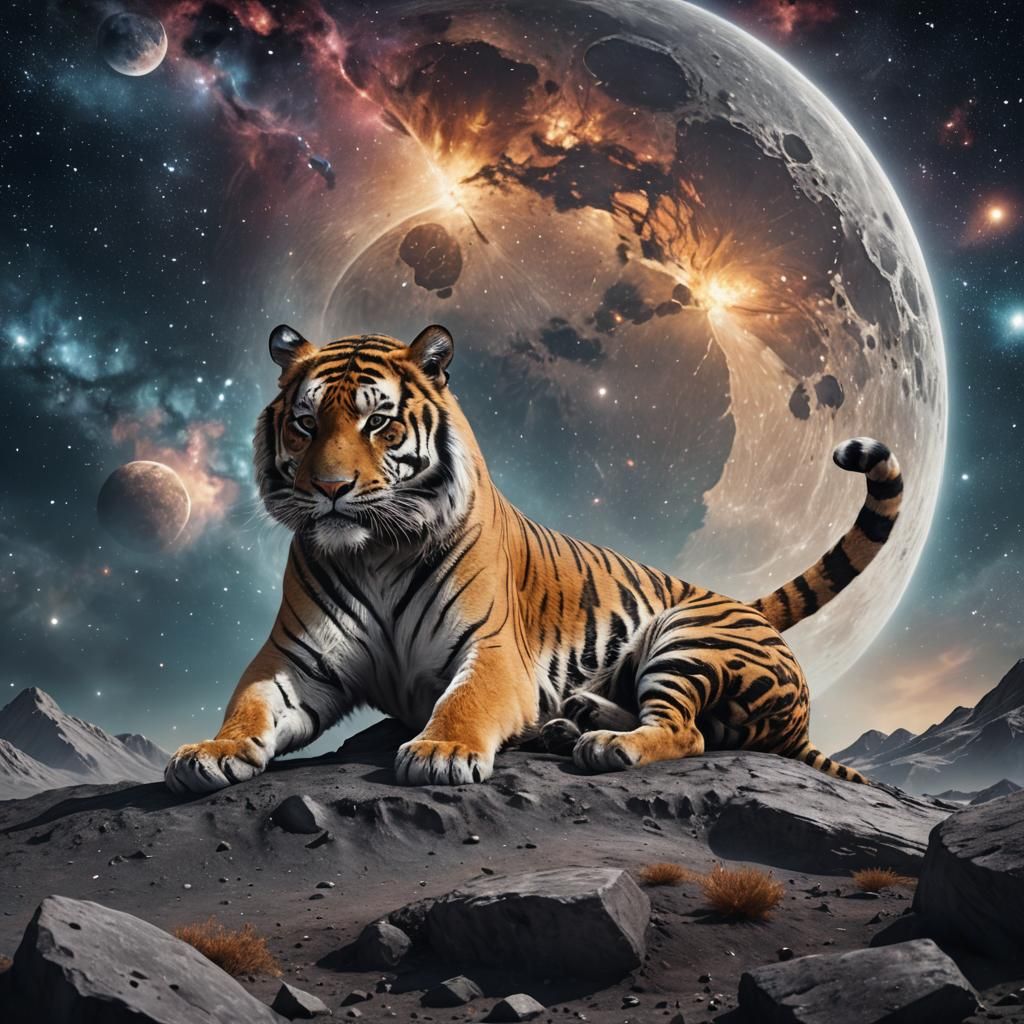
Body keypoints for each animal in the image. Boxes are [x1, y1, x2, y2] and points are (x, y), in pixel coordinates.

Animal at [164, 323, 902, 793]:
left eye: (379, 421)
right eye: (305, 423)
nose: (329, 489)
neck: (373, 552)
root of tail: (750, 607)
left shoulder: (492, 650)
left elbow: (463, 701)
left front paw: (440, 751)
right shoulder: (293, 657)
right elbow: (249, 705)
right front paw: (209, 753)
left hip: (686, 635)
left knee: (686, 730)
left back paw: (604, 742)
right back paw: (573, 721)